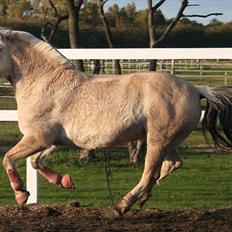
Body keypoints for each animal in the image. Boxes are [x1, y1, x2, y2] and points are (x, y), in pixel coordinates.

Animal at [0, 30, 232, 214]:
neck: (46, 83)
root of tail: (197, 89)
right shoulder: (52, 142)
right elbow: (35, 161)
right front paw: (64, 181)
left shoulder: (37, 138)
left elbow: (8, 158)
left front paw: (21, 194)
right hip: (168, 142)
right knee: (171, 165)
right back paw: (143, 198)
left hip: (158, 141)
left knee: (150, 172)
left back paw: (124, 205)